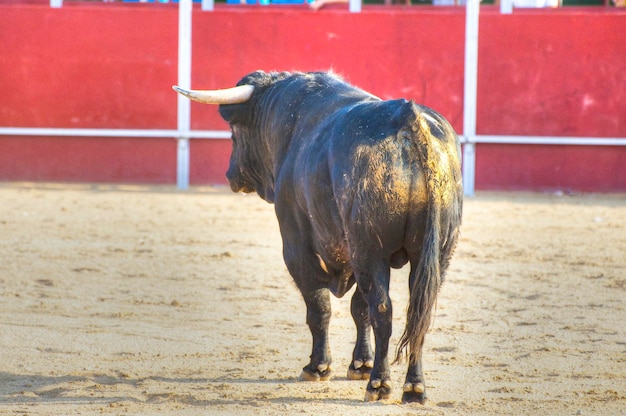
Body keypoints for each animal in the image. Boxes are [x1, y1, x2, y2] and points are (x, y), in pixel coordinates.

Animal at [173, 71, 460, 404]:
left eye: (234, 132)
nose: (231, 175)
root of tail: (407, 119)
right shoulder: (353, 253)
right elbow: (358, 309)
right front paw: (359, 364)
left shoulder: (298, 247)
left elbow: (320, 307)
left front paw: (318, 367)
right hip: (437, 254)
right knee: (418, 313)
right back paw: (414, 388)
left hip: (369, 251)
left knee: (383, 311)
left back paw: (379, 384)